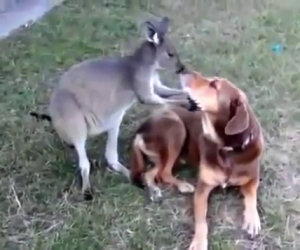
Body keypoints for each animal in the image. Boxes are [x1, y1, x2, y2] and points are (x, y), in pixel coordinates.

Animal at [130, 70, 264, 250]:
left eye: (214, 85)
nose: (183, 70)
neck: (228, 148)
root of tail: (140, 131)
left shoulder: (252, 180)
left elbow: (251, 198)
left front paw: (252, 220)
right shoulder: (203, 189)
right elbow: (202, 222)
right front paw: (199, 242)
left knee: (152, 172)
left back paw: (155, 190)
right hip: (176, 127)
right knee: (163, 173)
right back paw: (181, 185)